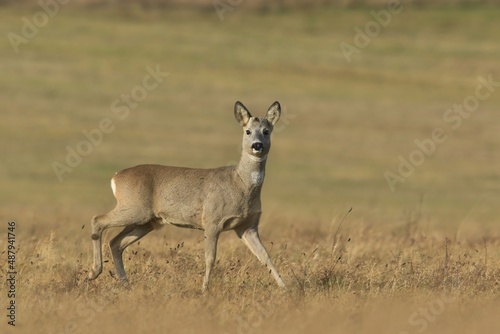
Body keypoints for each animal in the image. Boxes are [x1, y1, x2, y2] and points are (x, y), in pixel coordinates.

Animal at [88, 100, 286, 290]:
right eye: (248, 131)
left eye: (266, 131)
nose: (257, 145)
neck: (240, 183)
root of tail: (116, 177)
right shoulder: (212, 220)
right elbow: (210, 258)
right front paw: (204, 289)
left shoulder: (248, 226)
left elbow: (265, 257)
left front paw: (285, 288)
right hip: (134, 208)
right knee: (98, 220)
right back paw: (94, 273)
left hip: (147, 221)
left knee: (116, 243)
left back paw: (125, 284)